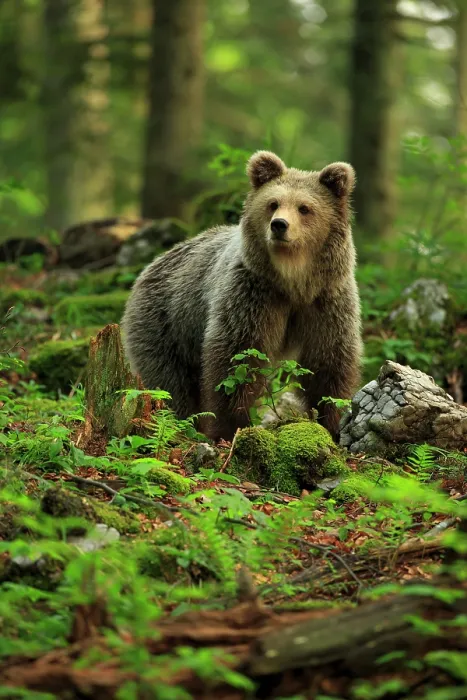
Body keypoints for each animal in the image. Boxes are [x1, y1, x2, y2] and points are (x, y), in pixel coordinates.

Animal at [121, 151, 362, 442]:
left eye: (304, 207)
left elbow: (328, 360)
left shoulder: (326, 299)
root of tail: (152, 265)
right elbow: (237, 358)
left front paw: (333, 421)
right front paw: (231, 427)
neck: (293, 282)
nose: (279, 225)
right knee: (168, 382)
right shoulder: (252, 294)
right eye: (273, 203)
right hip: (167, 324)